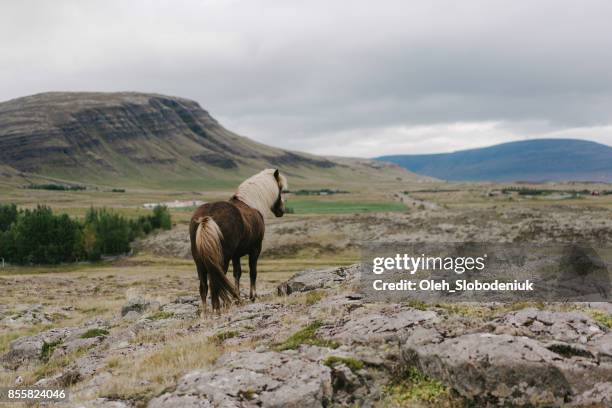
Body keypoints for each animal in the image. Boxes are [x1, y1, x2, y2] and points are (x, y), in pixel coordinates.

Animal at [189, 169, 290, 312]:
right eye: (280, 189)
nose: (282, 210)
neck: (250, 202)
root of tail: (207, 217)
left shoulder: (235, 255)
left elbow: (237, 273)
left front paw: (237, 297)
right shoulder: (255, 249)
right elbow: (253, 271)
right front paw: (252, 297)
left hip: (199, 261)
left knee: (204, 286)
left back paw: (207, 312)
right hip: (222, 259)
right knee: (215, 282)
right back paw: (218, 308)